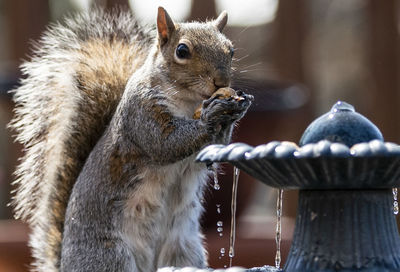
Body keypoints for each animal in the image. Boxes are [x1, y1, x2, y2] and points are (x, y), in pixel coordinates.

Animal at [9, 6, 252, 272]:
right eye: (182, 51)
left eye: (231, 50)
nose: (221, 82)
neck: (189, 103)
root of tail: (66, 264)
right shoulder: (141, 112)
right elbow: (165, 143)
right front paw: (211, 116)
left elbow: (213, 150)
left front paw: (235, 109)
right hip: (110, 256)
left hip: (184, 250)